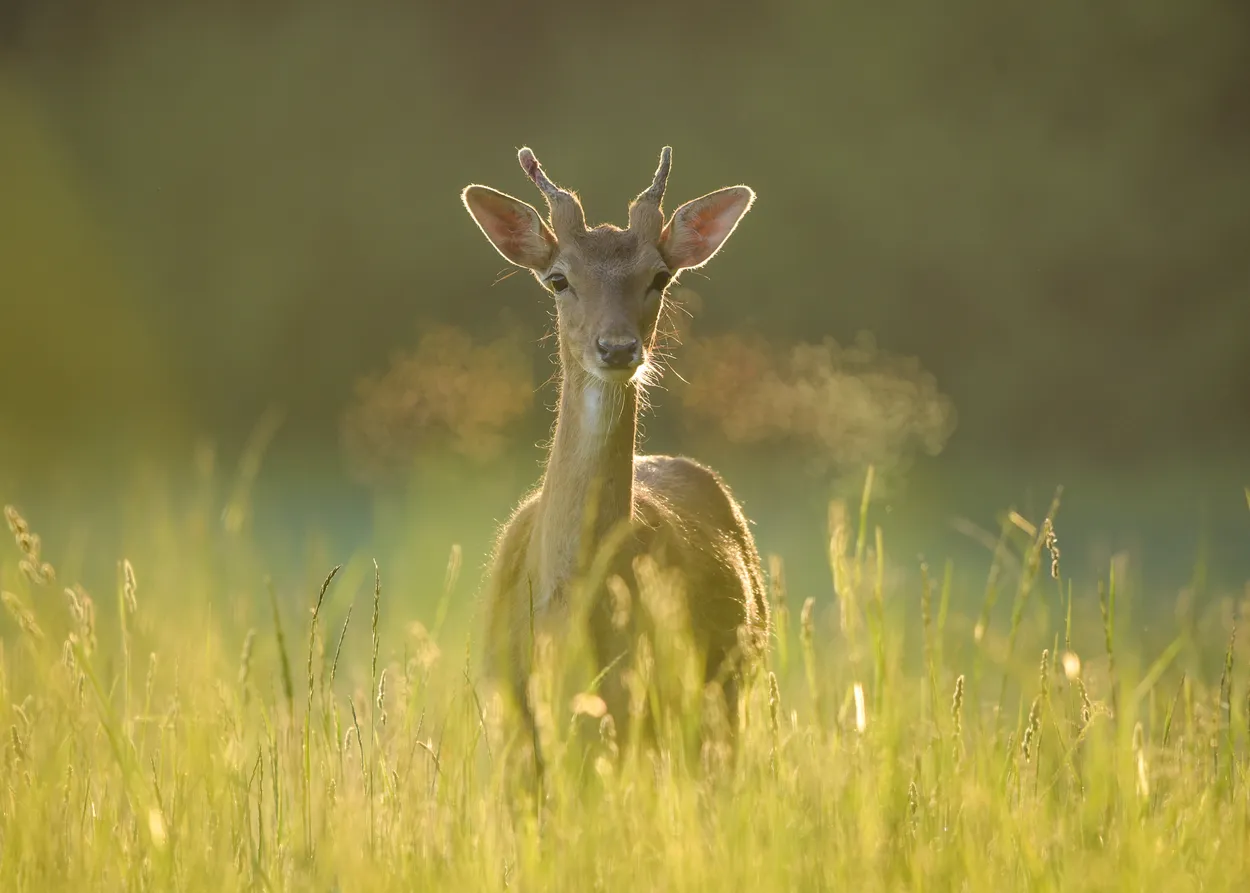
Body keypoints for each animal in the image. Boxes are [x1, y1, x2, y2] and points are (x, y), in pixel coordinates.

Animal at [461, 146, 770, 771]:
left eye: (659, 276)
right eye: (558, 279)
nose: (619, 347)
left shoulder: (639, 702)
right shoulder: (508, 712)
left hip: (726, 693)